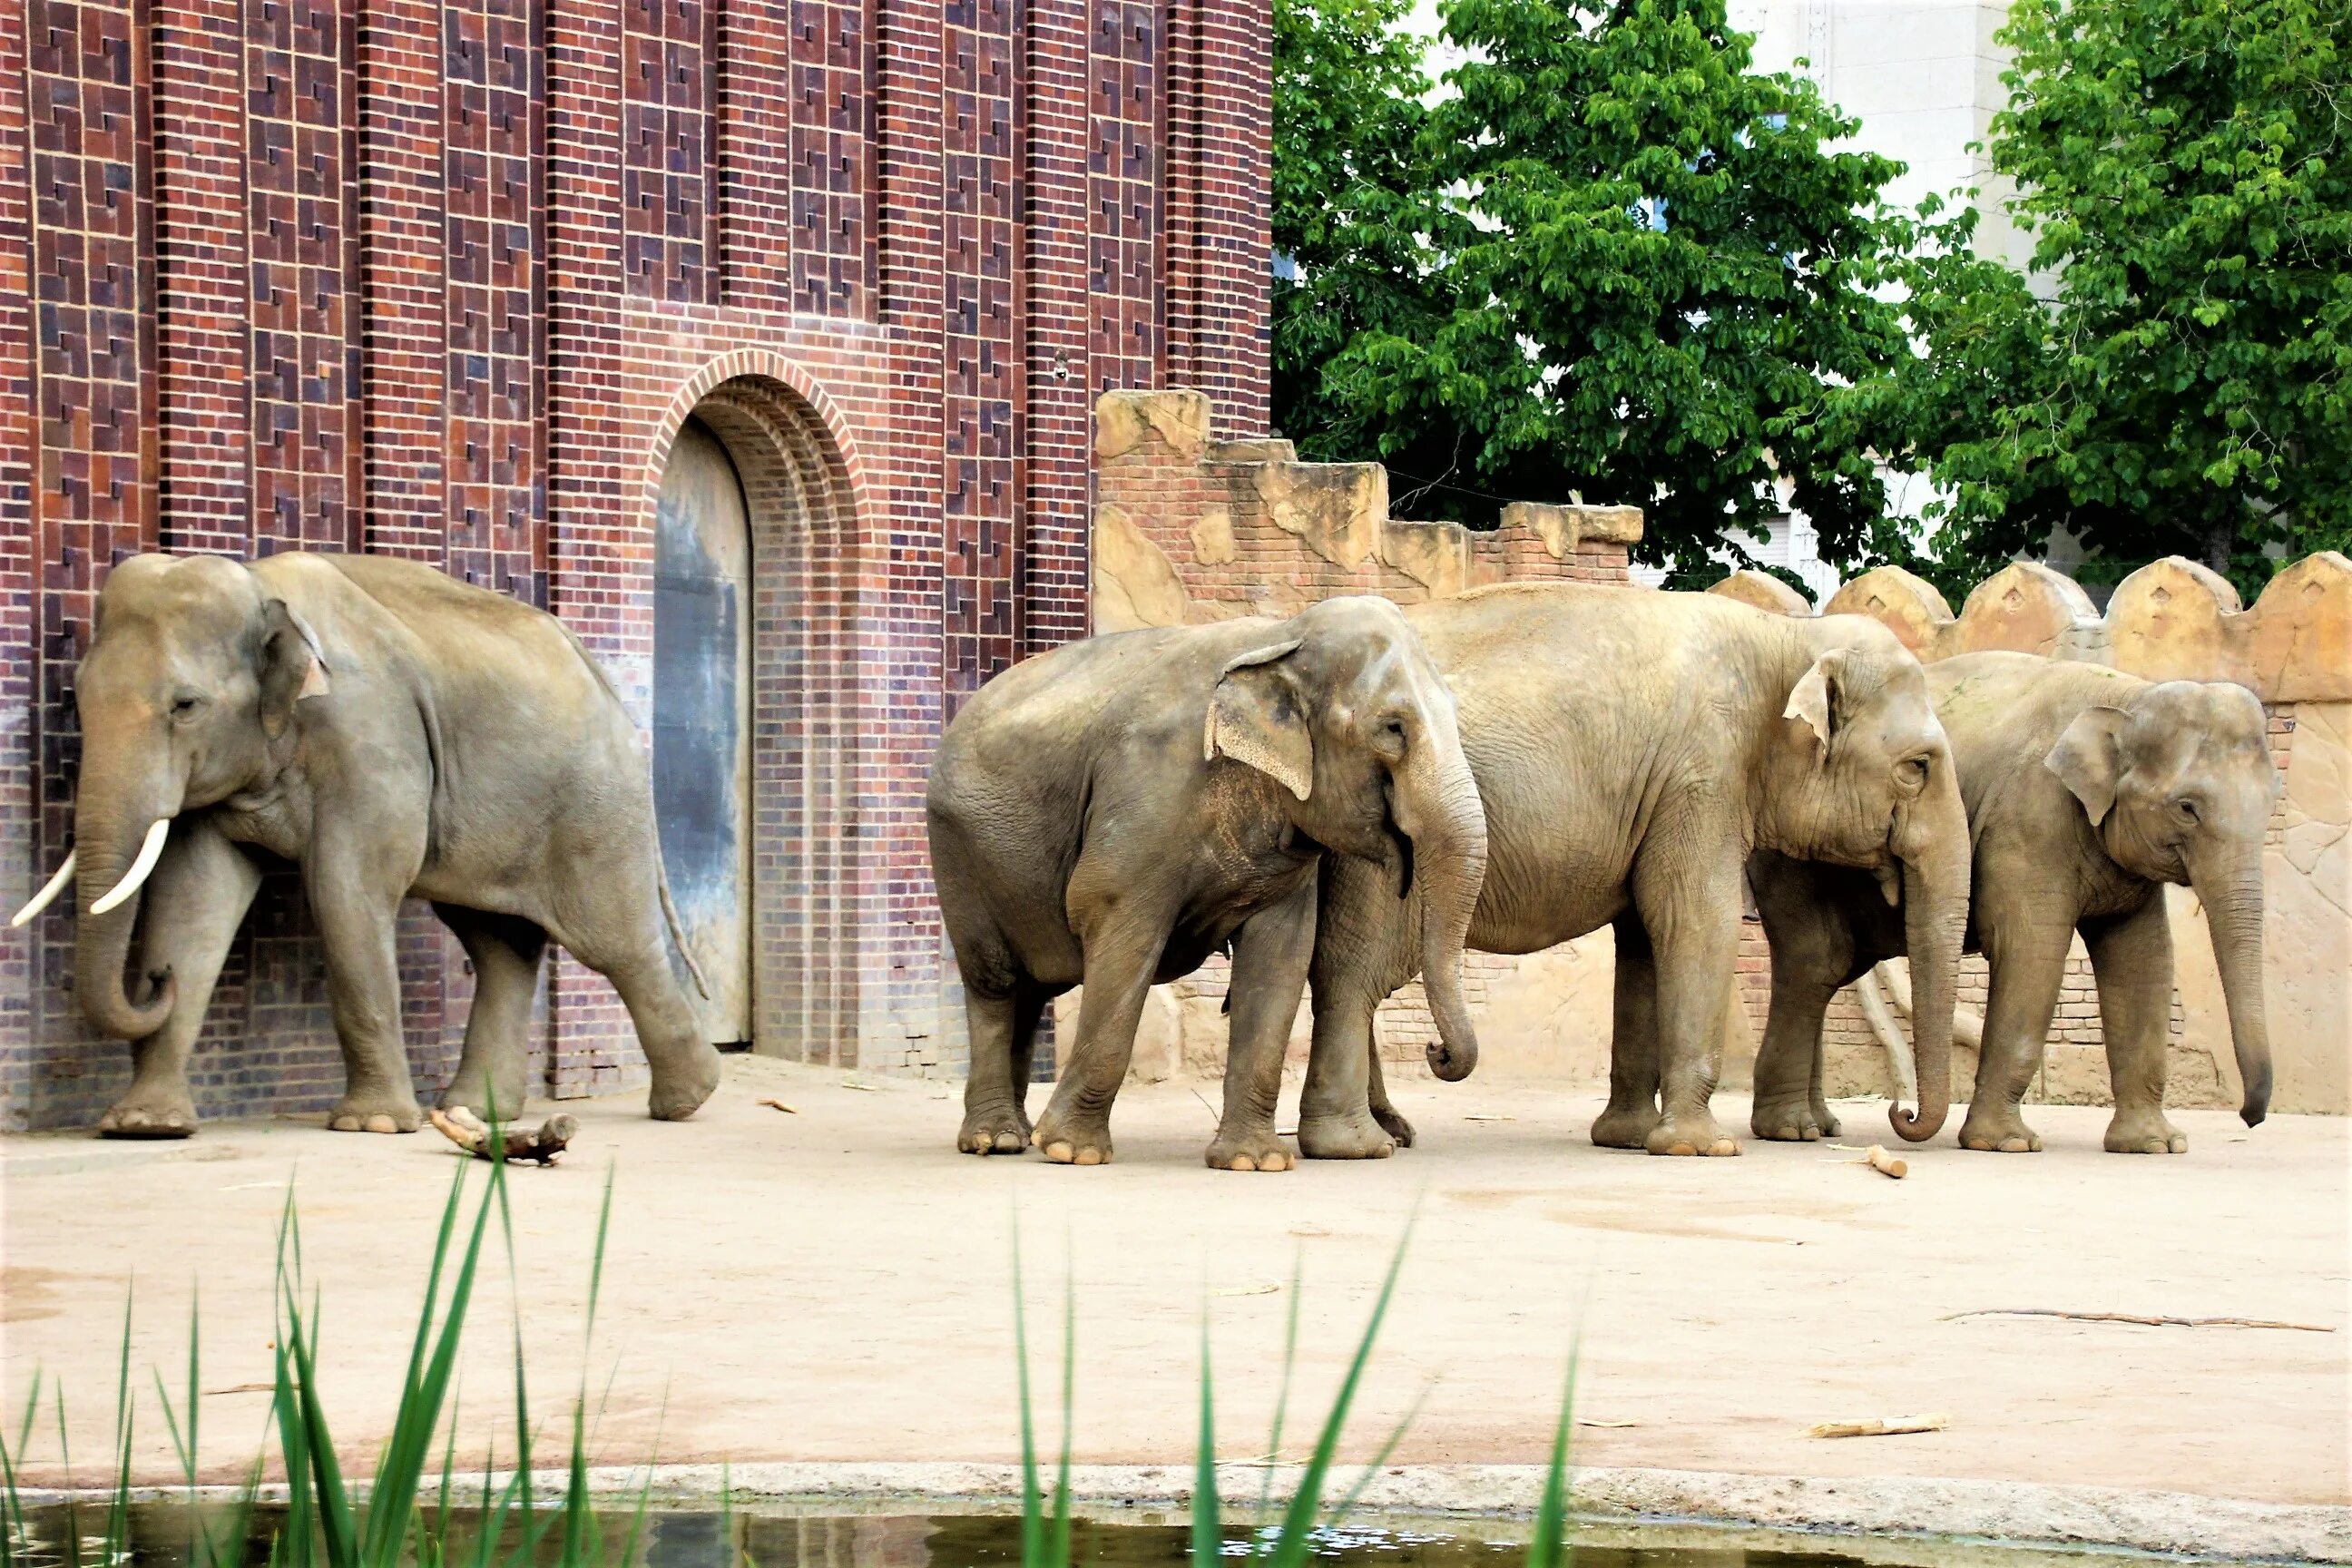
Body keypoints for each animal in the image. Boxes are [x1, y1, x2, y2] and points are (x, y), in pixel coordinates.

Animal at [14, 554, 720, 1142]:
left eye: (185, 706)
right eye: (76, 695)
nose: (155, 980)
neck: (262, 590)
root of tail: (605, 682)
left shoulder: (370, 738)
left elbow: (346, 890)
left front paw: (373, 1125)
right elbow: (192, 900)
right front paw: (144, 1126)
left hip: (593, 802)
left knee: (612, 941)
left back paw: (688, 1100)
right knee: (498, 942)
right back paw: (475, 1112)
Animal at [926, 594, 1476, 1171]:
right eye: (1393, 728)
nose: (1435, 1051)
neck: (1281, 637)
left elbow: (1281, 956)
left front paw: (1254, 1162)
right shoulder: (1145, 794)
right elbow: (1119, 928)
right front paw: (1071, 1152)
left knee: (1031, 992)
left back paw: (1015, 1135)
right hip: (959, 854)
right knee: (997, 984)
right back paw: (995, 1140)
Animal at [1298, 583, 1975, 1161]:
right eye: (1917, 766)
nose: (1900, 1114)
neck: (1787, 638)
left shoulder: (1667, 794)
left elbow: (1645, 940)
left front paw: (1626, 1137)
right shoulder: (1702, 775)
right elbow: (1698, 923)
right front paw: (1701, 1148)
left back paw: (1390, 1130)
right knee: (1360, 969)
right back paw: (1362, 1139)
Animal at [1749, 649, 2277, 1152]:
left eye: (2273, 803)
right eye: (2187, 808)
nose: (2250, 1119)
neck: (2128, 694)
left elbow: (2142, 963)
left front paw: (2155, 1145)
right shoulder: (2030, 816)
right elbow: (2031, 953)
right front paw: (2006, 1143)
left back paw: (1821, 1126)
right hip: (1789, 856)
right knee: (1817, 960)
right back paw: (1795, 1129)